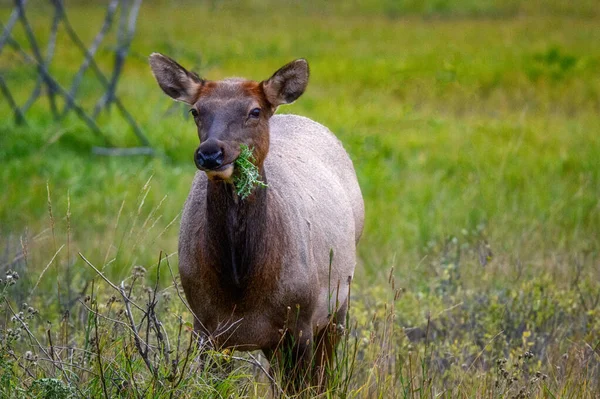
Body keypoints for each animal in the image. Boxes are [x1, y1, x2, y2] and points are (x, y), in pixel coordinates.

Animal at [150, 52, 366, 390]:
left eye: (254, 110)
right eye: (195, 111)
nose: (210, 153)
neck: (242, 282)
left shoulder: (300, 324)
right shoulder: (206, 327)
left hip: (337, 305)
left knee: (324, 377)